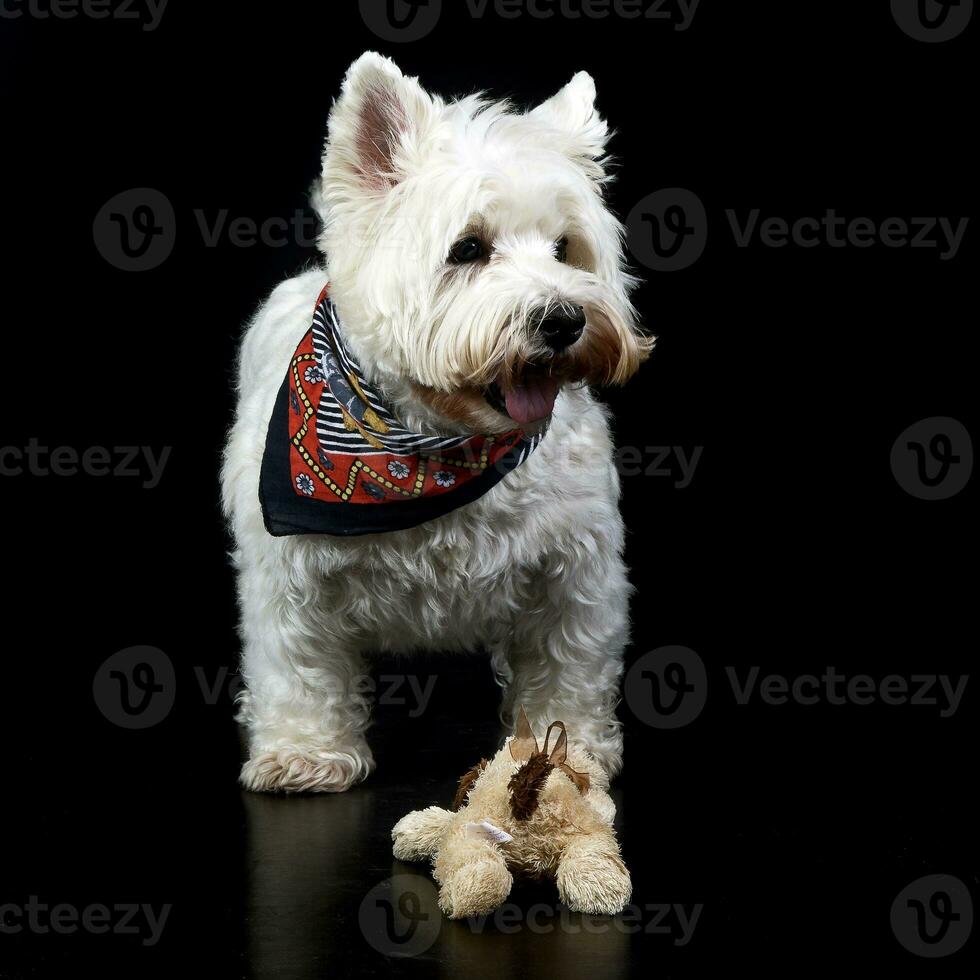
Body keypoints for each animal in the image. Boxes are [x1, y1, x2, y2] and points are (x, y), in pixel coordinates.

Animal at [222, 51, 652, 796]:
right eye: (468, 248)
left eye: (565, 248)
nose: (564, 320)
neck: (431, 447)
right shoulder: (288, 573)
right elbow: (297, 665)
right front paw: (306, 752)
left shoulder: (577, 568)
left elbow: (569, 659)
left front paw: (564, 752)